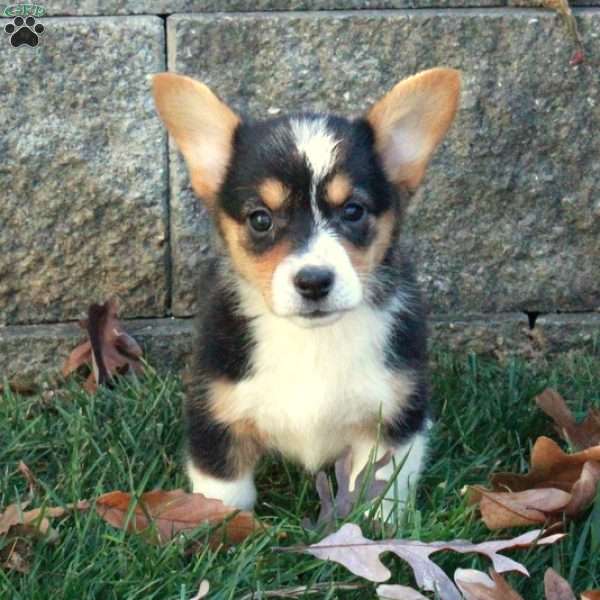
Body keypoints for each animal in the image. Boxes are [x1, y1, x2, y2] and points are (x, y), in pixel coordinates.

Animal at [152, 69, 462, 516]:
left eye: (353, 210)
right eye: (260, 219)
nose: (314, 281)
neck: (312, 341)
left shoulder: (394, 418)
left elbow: (380, 491)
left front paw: (377, 525)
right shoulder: (215, 417)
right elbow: (224, 497)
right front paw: (221, 526)